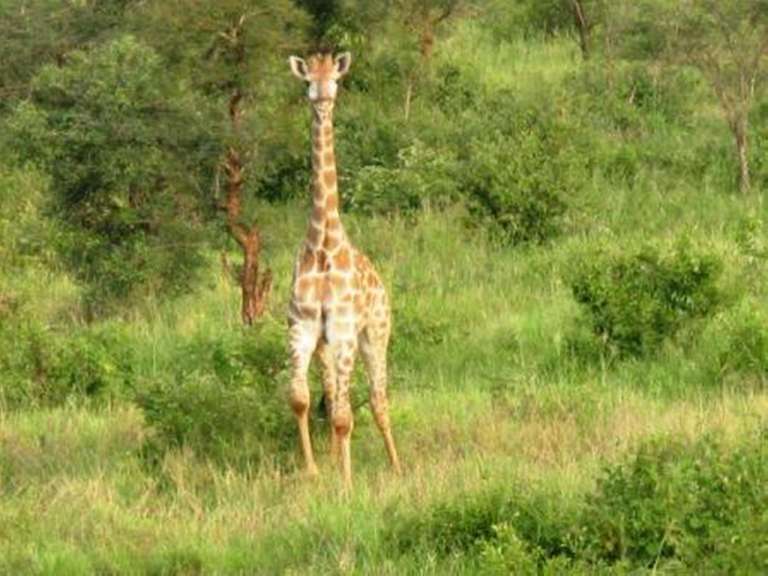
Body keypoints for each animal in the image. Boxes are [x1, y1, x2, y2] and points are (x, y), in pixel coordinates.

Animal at [287, 52, 401, 488]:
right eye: (307, 81)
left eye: (334, 78)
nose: (321, 96)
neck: (323, 245)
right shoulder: (302, 327)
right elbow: (301, 399)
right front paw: (315, 469)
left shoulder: (344, 329)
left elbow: (342, 417)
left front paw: (347, 484)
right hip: (328, 344)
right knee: (336, 392)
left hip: (374, 334)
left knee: (377, 398)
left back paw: (397, 467)